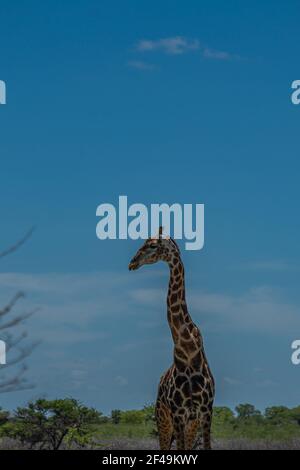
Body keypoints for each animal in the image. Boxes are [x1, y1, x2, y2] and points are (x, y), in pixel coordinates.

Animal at [127, 229, 214, 450]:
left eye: (151, 245)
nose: (132, 263)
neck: (189, 351)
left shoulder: (206, 411)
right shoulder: (178, 412)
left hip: (190, 423)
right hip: (163, 418)